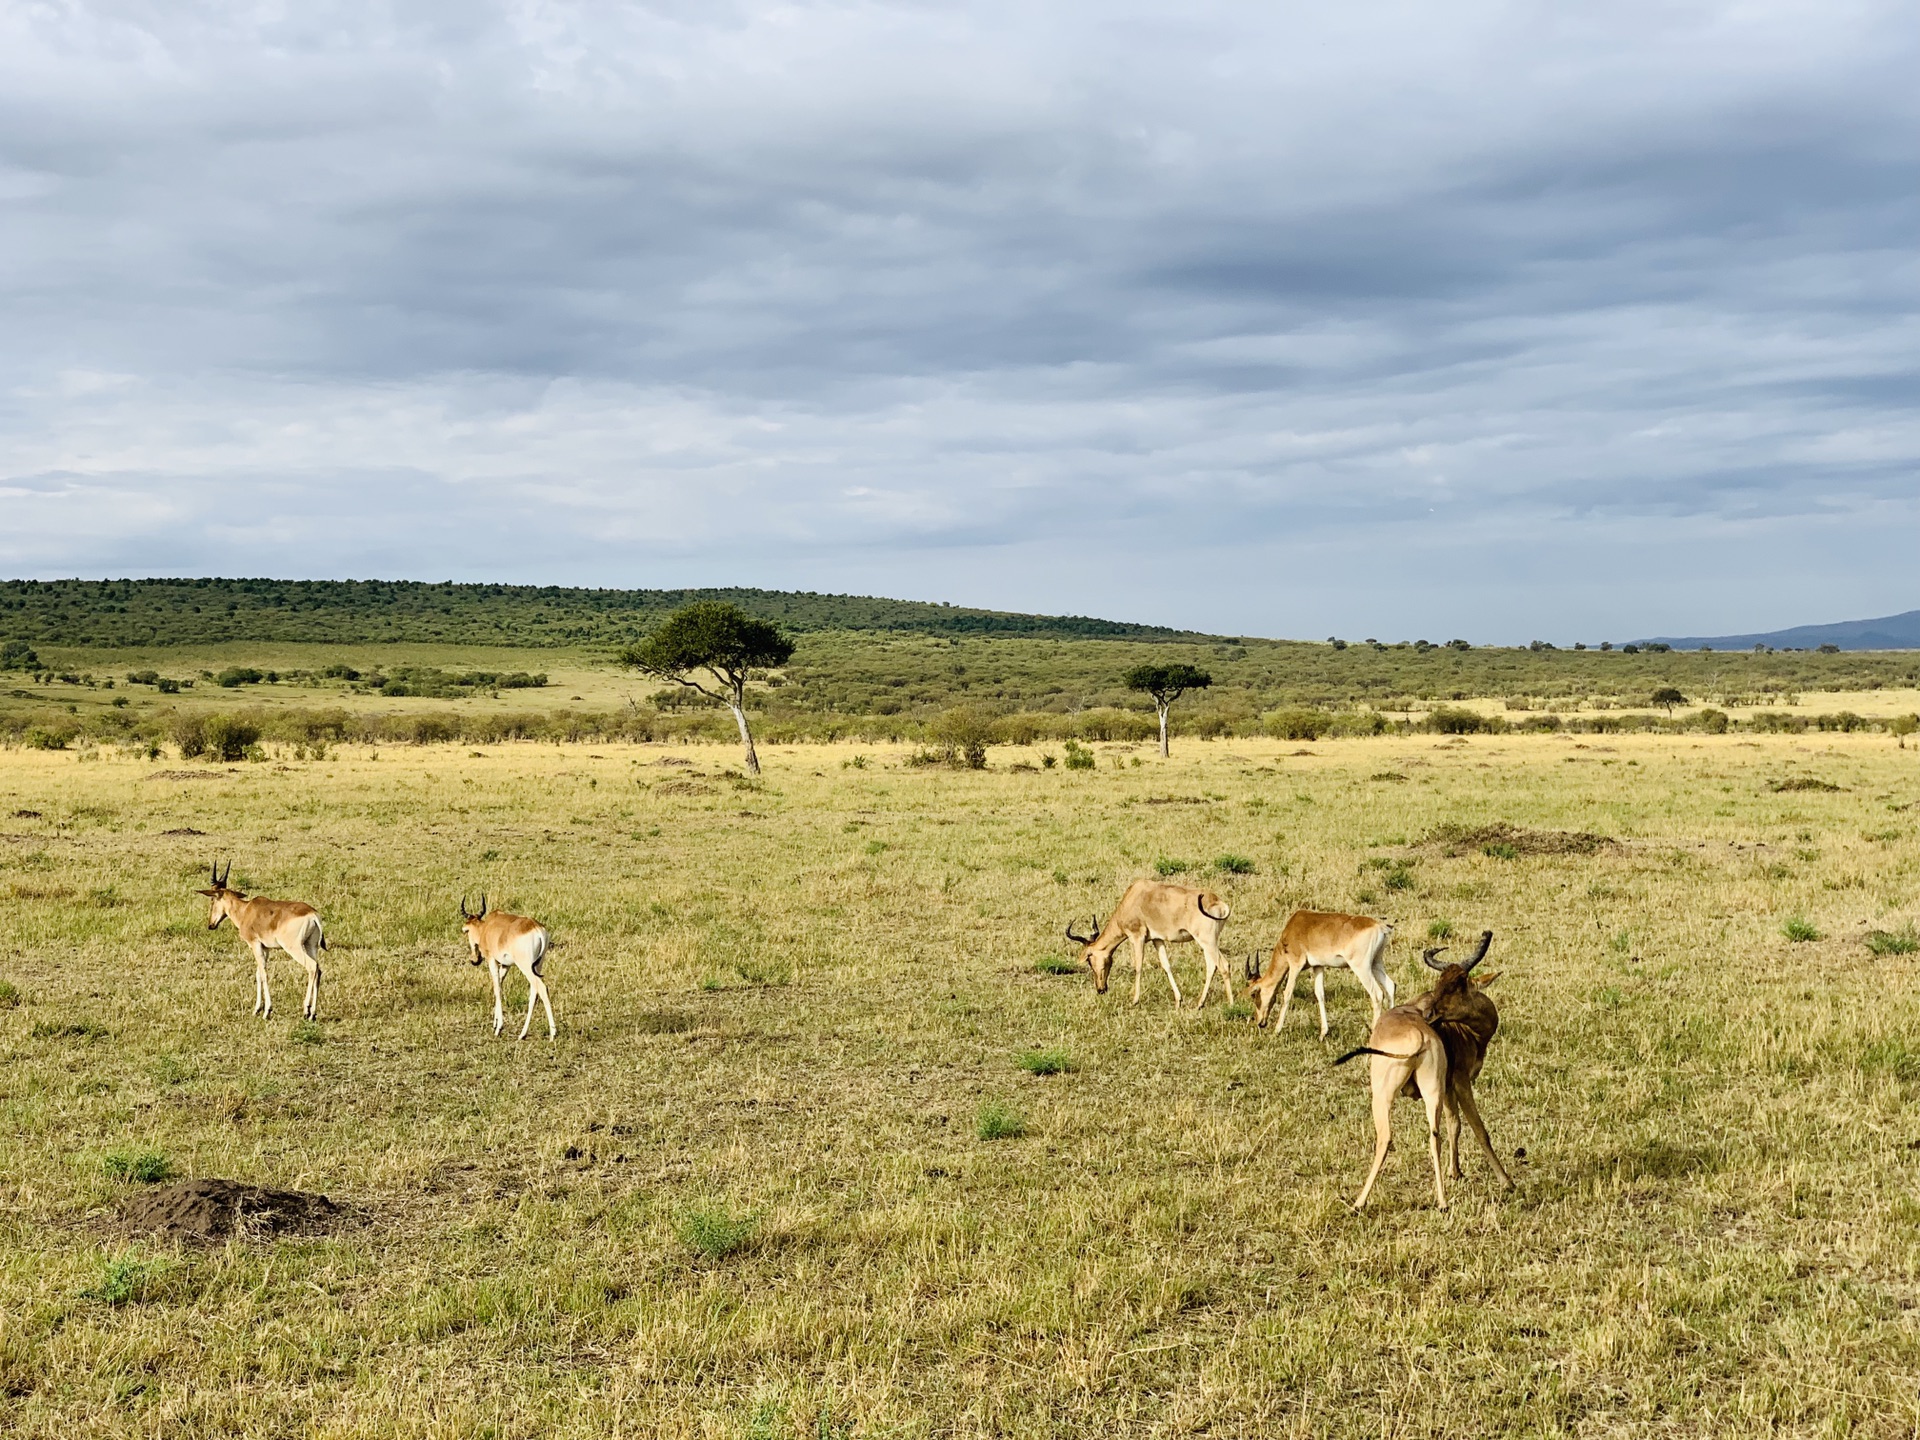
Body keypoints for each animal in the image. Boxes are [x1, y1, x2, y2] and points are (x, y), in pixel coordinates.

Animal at [195, 864, 326, 1021]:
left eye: (212, 900)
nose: (211, 925)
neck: (246, 910)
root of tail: (312, 915)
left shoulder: (254, 944)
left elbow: (263, 973)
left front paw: (267, 1011)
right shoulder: (265, 948)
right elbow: (258, 973)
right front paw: (257, 1009)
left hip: (294, 948)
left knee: (312, 967)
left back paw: (306, 1010)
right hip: (311, 945)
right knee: (318, 969)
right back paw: (313, 1013)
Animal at [458, 898, 556, 1044]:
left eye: (466, 931)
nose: (474, 960)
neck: (488, 926)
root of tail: (536, 928)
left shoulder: (492, 960)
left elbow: (497, 988)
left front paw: (498, 1029)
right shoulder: (505, 965)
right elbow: (500, 984)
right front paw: (495, 1024)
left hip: (525, 966)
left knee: (542, 988)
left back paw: (552, 1034)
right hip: (538, 965)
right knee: (534, 992)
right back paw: (522, 1034)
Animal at [1067, 875, 1228, 1006]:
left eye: (1089, 959)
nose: (1101, 989)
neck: (1134, 896)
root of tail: (1218, 902)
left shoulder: (1137, 936)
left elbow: (1138, 966)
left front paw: (1134, 1000)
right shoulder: (1157, 939)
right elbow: (1166, 966)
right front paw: (1178, 1000)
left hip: (1206, 940)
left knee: (1223, 965)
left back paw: (1230, 1005)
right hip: (1208, 942)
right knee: (1212, 966)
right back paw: (1200, 1004)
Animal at [1244, 913, 1397, 1036]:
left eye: (1254, 993)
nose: (1259, 1022)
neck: (1296, 924)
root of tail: (1380, 927)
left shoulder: (1295, 965)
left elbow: (1287, 993)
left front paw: (1277, 1030)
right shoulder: (1318, 966)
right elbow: (1320, 994)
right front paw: (1323, 1033)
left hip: (1361, 967)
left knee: (1377, 994)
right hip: (1376, 963)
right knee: (1390, 986)